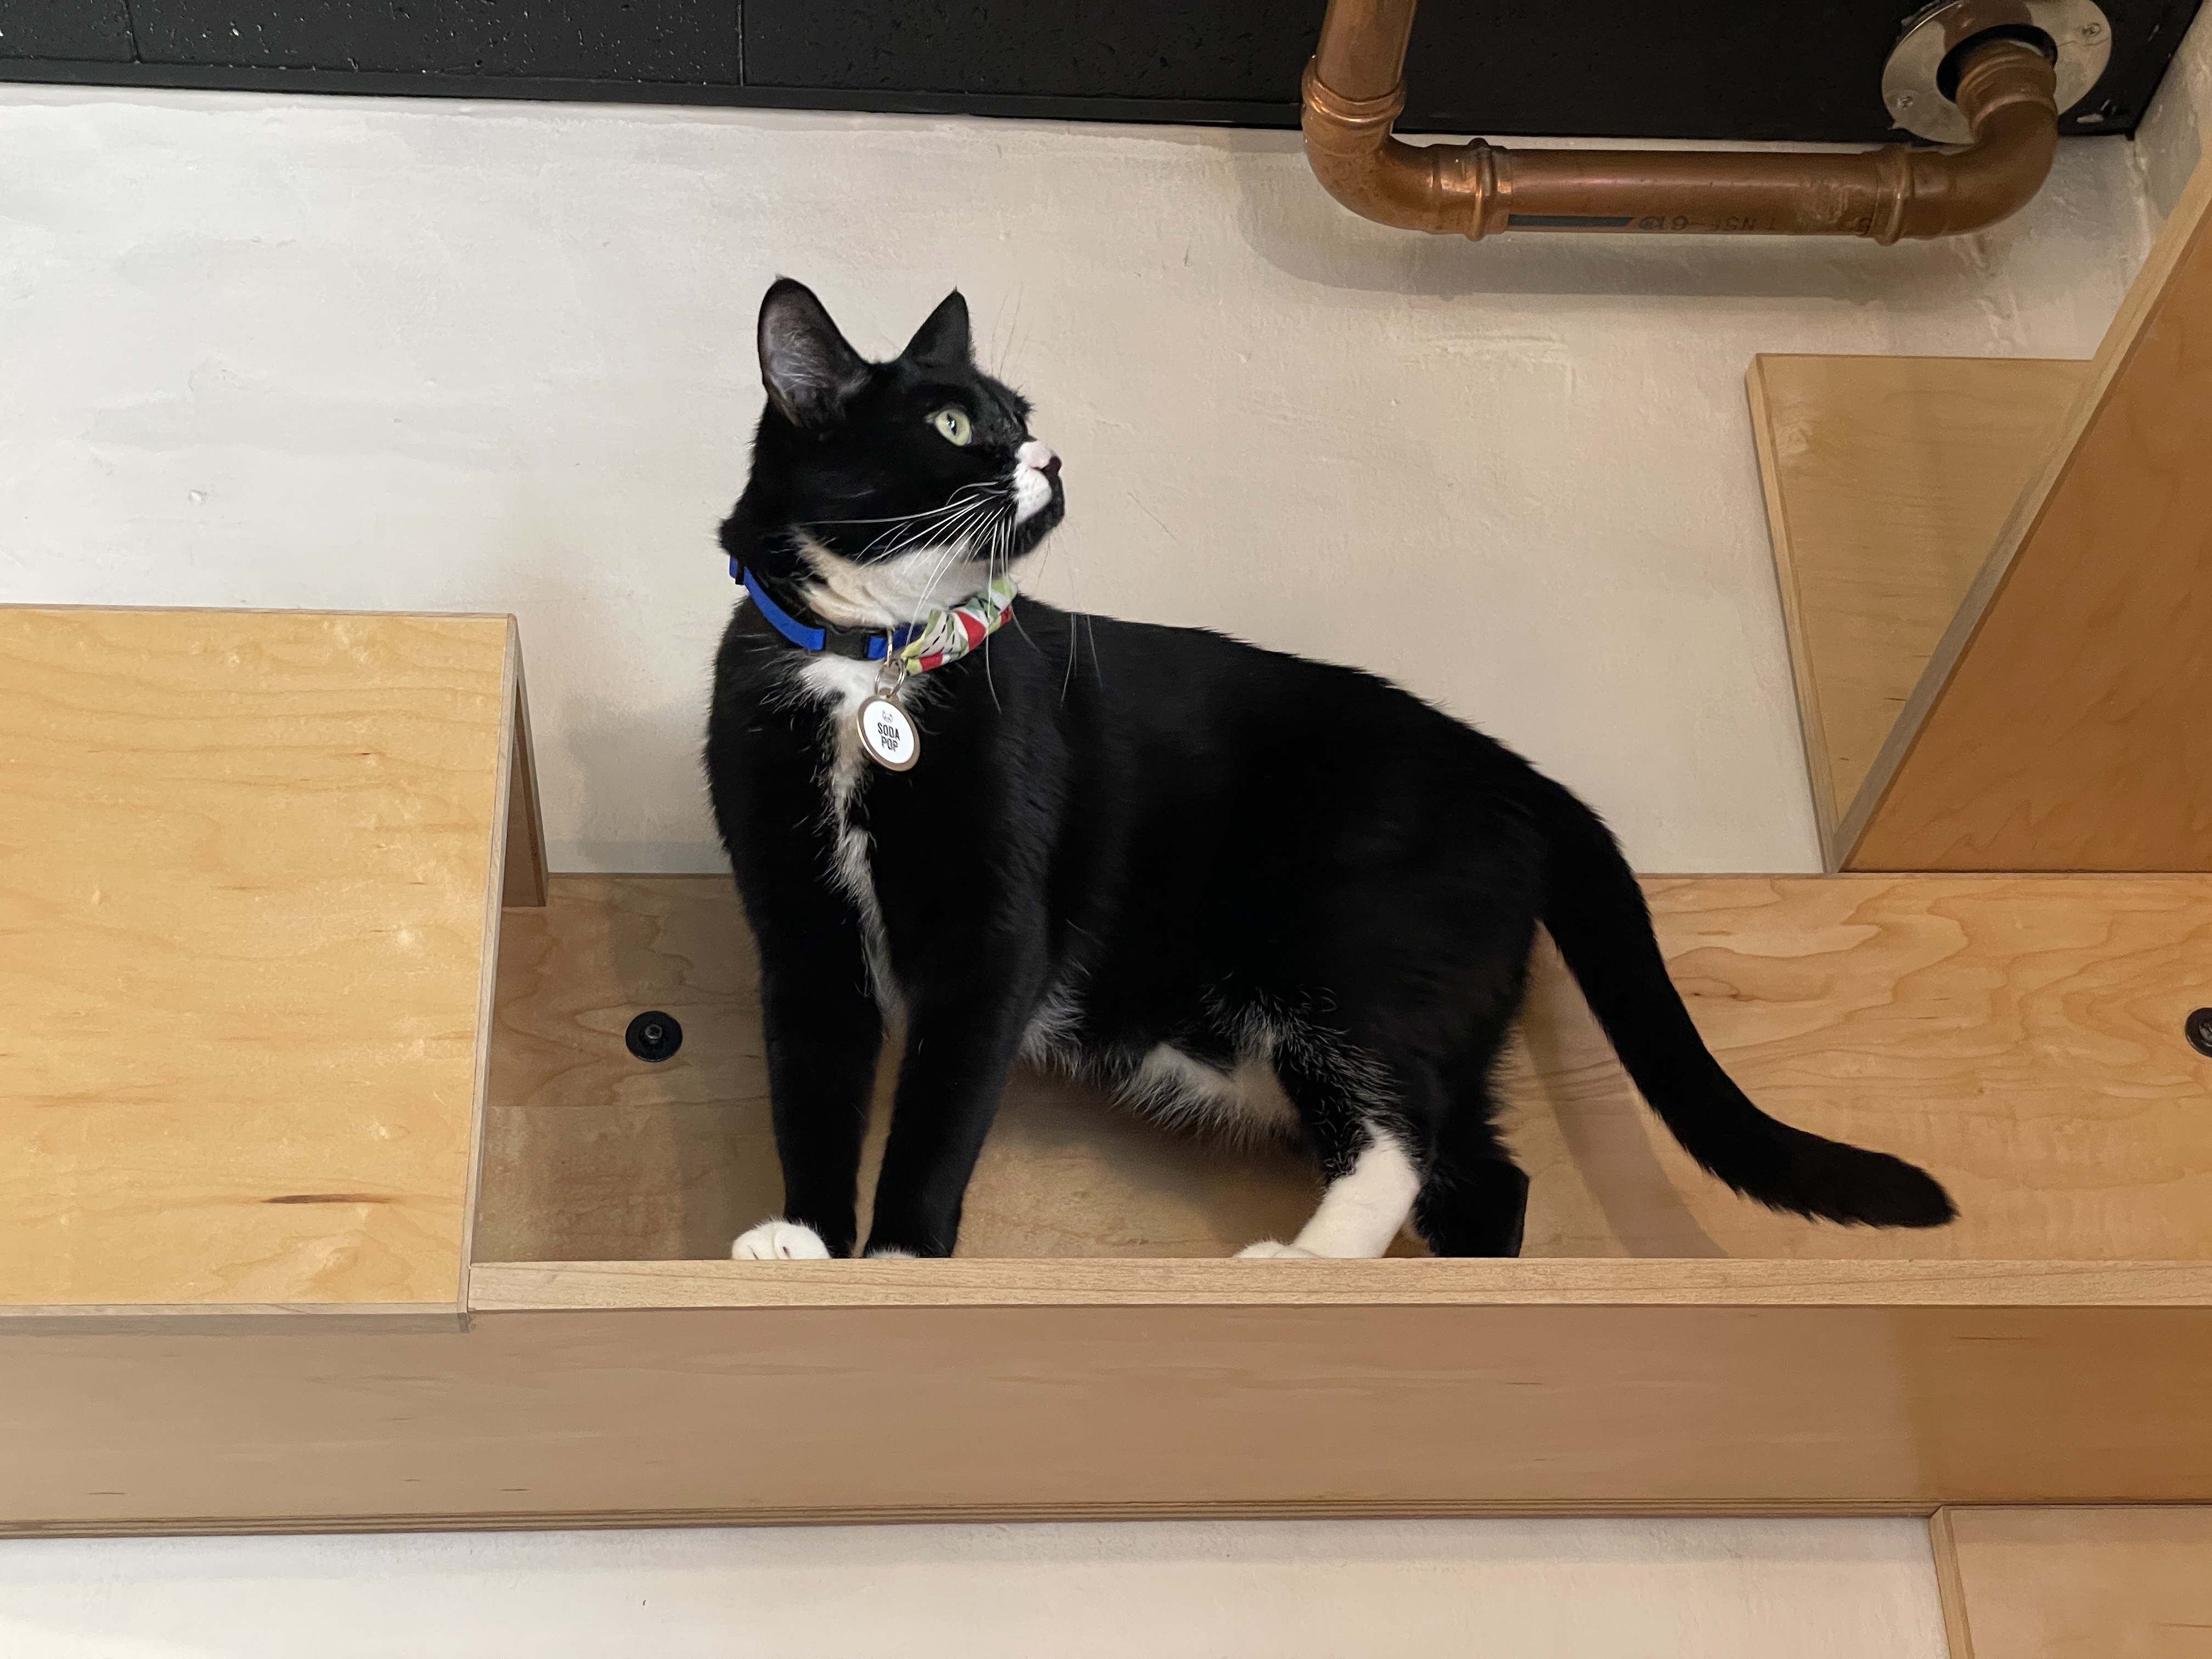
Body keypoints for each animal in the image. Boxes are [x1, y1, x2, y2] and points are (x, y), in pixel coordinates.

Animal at [704, 277, 1955, 1261]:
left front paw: (897, 1255)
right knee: (1484, 1167)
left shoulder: (994, 929)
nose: (1052, 457)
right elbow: (810, 1077)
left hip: (1358, 948)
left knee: (1396, 1122)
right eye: (957, 420)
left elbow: (940, 1104)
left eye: (1022, 418)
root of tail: (1516, 771)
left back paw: (1306, 1259)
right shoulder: (799, 924)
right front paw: (806, 1242)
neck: (868, 663)